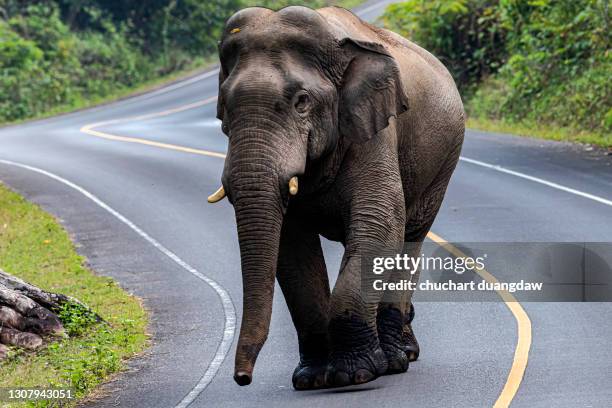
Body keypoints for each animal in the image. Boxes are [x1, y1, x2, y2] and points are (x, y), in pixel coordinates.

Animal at [209, 5, 464, 388]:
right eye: (225, 108)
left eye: (301, 102)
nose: (242, 378)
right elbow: (292, 243)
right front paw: (312, 379)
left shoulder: (373, 129)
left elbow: (380, 220)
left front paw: (353, 375)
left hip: (443, 164)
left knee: (408, 238)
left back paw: (397, 357)